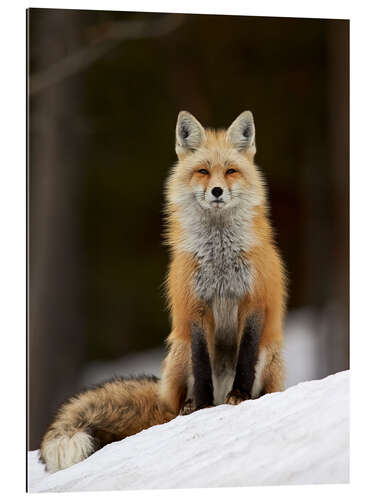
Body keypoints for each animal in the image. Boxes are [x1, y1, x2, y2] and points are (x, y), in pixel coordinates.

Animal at [39, 110, 286, 472]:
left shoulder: (253, 302)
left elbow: (245, 357)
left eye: (230, 171)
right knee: (177, 400)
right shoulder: (194, 308)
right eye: (202, 171)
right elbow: (202, 366)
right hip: (178, 352)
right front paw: (203, 408)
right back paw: (188, 407)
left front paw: (239, 397)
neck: (220, 258)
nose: (216, 191)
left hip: (270, 355)